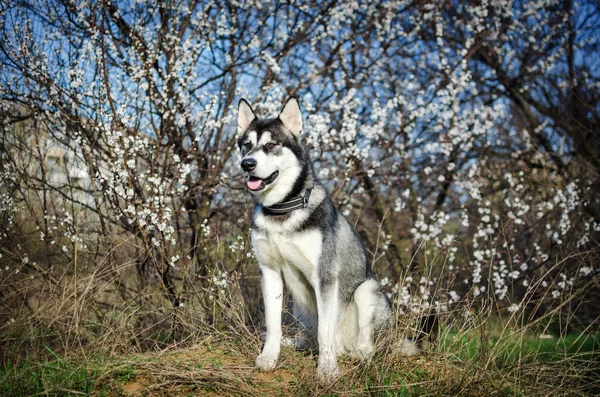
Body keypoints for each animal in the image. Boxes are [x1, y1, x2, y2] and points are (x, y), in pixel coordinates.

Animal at [237, 96, 400, 380]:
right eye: (246, 145)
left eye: (271, 145)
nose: (247, 164)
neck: (283, 209)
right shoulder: (269, 272)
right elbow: (273, 322)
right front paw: (269, 356)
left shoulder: (324, 276)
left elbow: (326, 331)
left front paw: (327, 368)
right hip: (300, 306)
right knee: (308, 336)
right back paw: (296, 342)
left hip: (367, 290)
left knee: (362, 346)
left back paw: (355, 354)